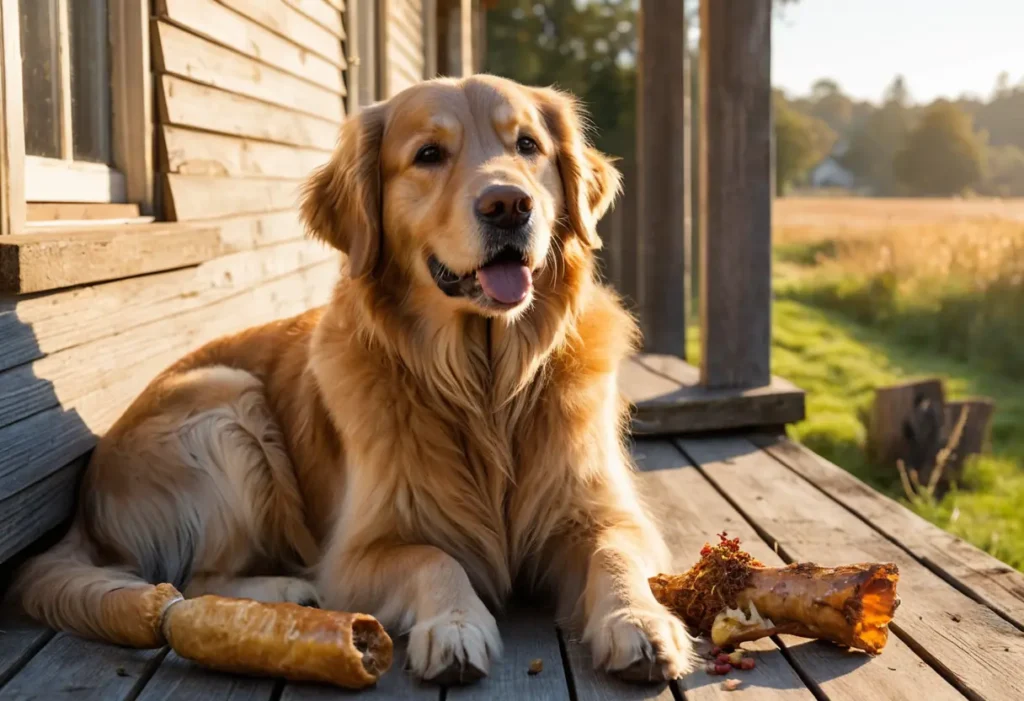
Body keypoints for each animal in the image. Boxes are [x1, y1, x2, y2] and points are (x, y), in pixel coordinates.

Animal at [14, 75, 696, 683]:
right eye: (428, 155)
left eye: (528, 145)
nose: (509, 205)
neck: (485, 389)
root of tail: (82, 509)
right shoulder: (358, 552)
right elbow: (432, 557)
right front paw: (454, 624)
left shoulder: (604, 514)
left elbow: (613, 554)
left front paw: (638, 621)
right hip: (225, 403)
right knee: (195, 577)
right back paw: (288, 588)